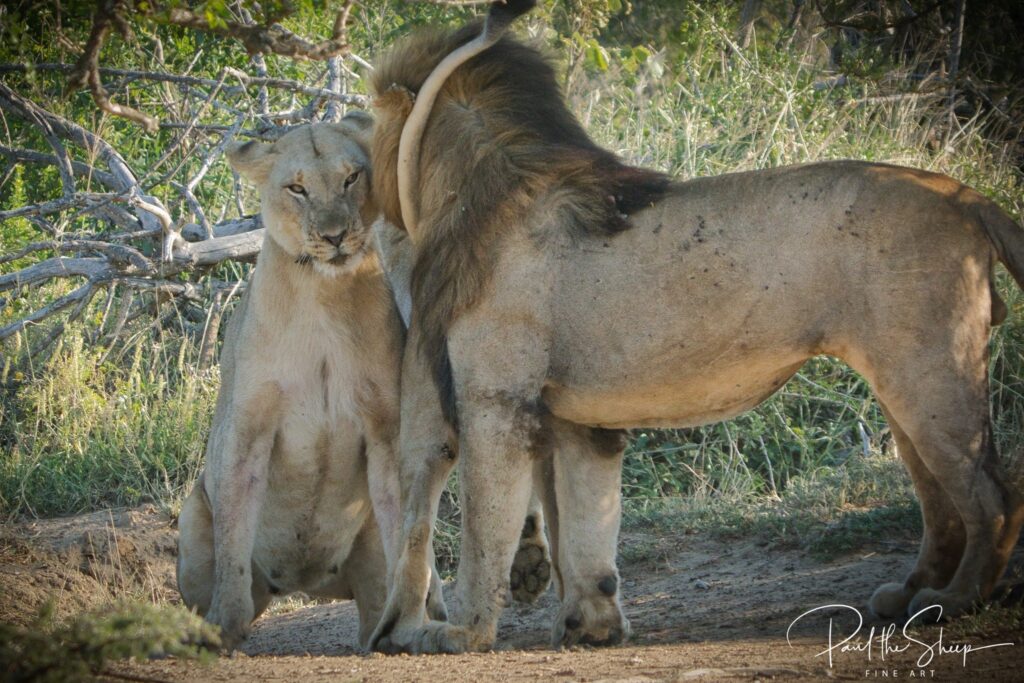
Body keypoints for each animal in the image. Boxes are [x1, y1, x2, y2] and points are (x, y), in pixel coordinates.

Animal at [176, 114, 448, 651]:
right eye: (297, 188)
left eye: (351, 178)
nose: (336, 235)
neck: (323, 295)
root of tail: (307, 584)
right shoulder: (247, 430)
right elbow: (234, 538)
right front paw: (225, 625)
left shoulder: (385, 430)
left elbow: (402, 529)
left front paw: (411, 621)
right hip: (190, 523)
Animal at [368, 0, 1024, 655]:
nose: (366, 190)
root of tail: (968, 198)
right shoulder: (577, 416)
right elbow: (583, 528)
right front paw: (592, 625)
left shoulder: (496, 402)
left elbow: (486, 524)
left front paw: (463, 633)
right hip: (901, 384)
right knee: (942, 504)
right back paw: (910, 596)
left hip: (928, 373)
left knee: (993, 497)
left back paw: (955, 602)